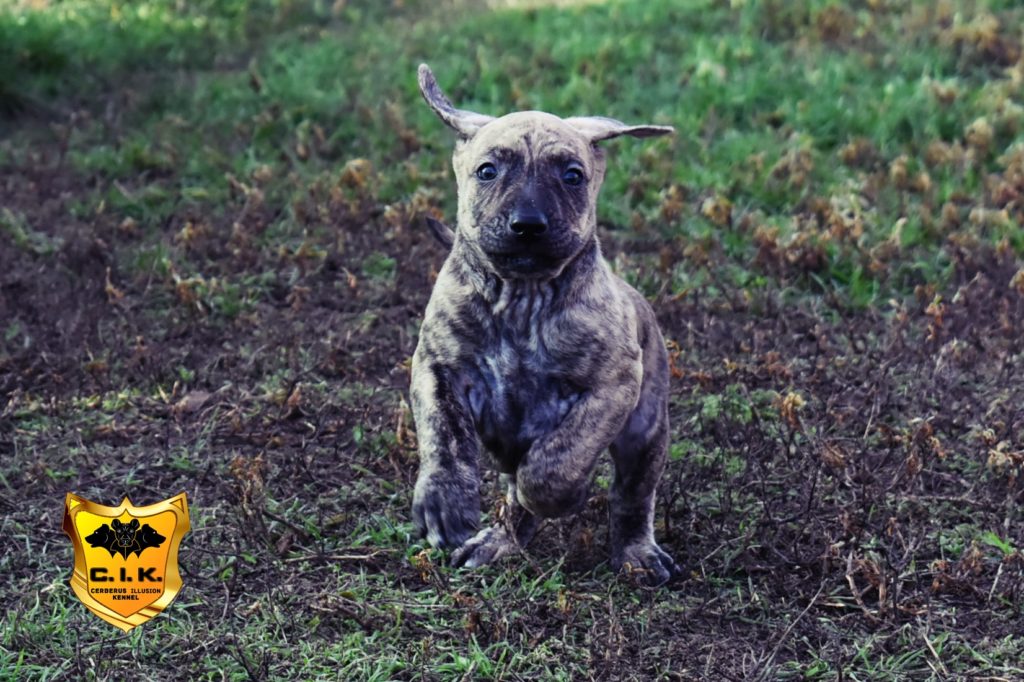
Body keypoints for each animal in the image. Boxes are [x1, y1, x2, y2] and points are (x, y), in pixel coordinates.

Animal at [407, 65, 679, 585]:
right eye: (487, 171)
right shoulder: (437, 367)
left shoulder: (612, 387)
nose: (528, 224)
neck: (522, 298)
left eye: (573, 176)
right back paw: (495, 541)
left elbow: (558, 462)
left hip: (645, 429)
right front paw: (444, 502)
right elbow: (443, 434)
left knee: (632, 496)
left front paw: (559, 493)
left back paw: (636, 553)